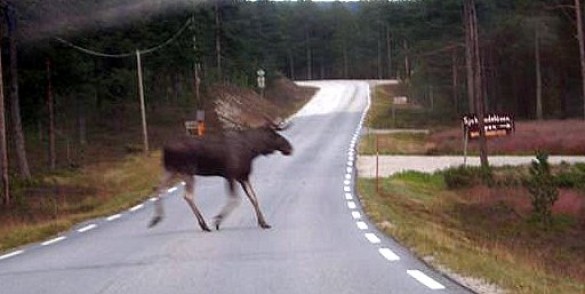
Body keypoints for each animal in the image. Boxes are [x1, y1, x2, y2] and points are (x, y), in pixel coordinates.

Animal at [147, 117, 290, 232]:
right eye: (274, 135)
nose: (289, 147)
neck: (253, 150)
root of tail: (165, 149)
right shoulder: (231, 176)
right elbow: (235, 199)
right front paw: (217, 220)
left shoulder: (243, 176)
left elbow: (254, 198)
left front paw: (263, 223)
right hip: (187, 170)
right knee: (187, 195)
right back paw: (204, 225)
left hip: (171, 169)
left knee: (158, 187)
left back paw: (156, 218)